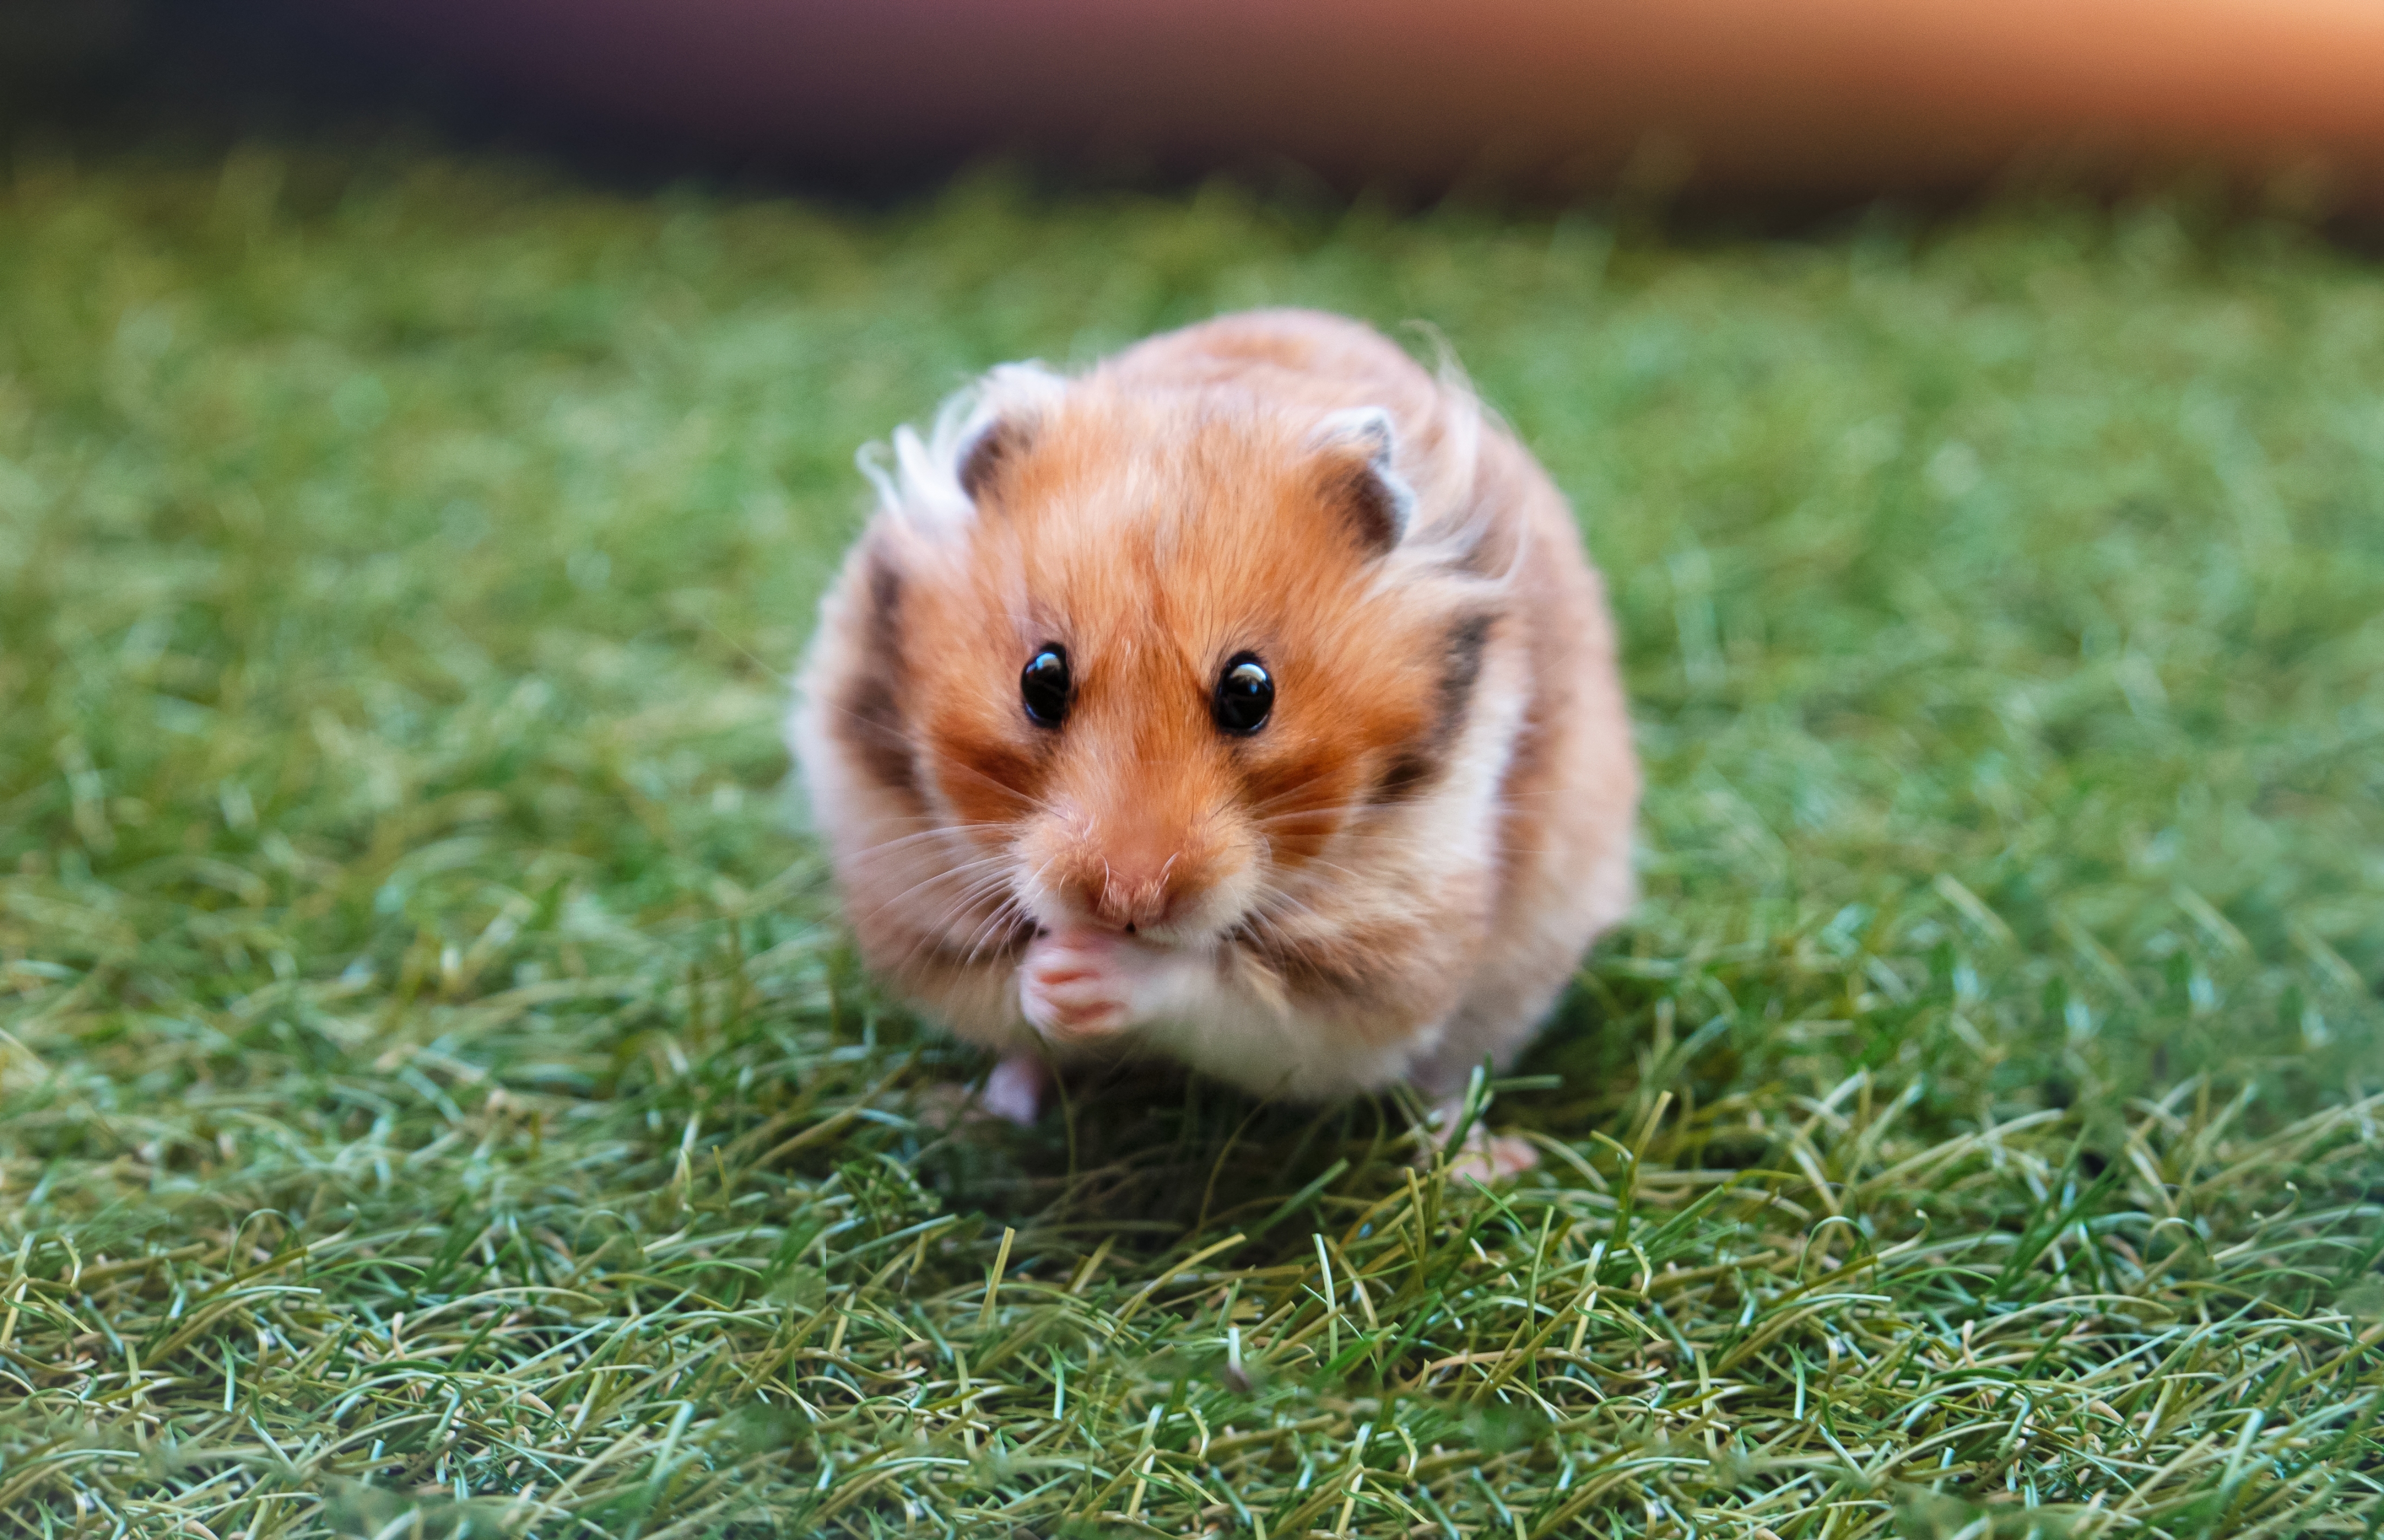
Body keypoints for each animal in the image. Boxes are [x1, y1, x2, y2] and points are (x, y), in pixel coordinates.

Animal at [791, 309, 1637, 1147]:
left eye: (1250, 692)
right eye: (1041, 679)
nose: (1124, 901)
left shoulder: (1384, 956)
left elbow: (1222, 995)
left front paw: (1091, 974)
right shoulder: (909, 889)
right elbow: (1002, 991)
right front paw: (1051, 979)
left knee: (1447, 1078)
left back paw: (1479, 1157)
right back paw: (972, 1114)